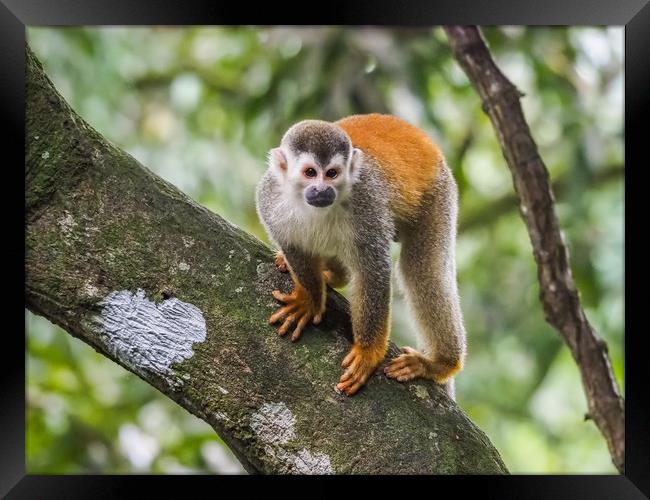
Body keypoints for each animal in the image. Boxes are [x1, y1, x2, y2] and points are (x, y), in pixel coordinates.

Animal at [254, 113, 466, 398]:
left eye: (332, 174)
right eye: (310, 173)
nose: (322, 190)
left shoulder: (367, 203)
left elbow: (372, 271)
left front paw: (367, 353)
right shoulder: (269, 198)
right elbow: (294, 246)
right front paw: (309, 299)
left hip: (438, 194)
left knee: (421, 270)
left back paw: (440, 363)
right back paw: (331, 275)